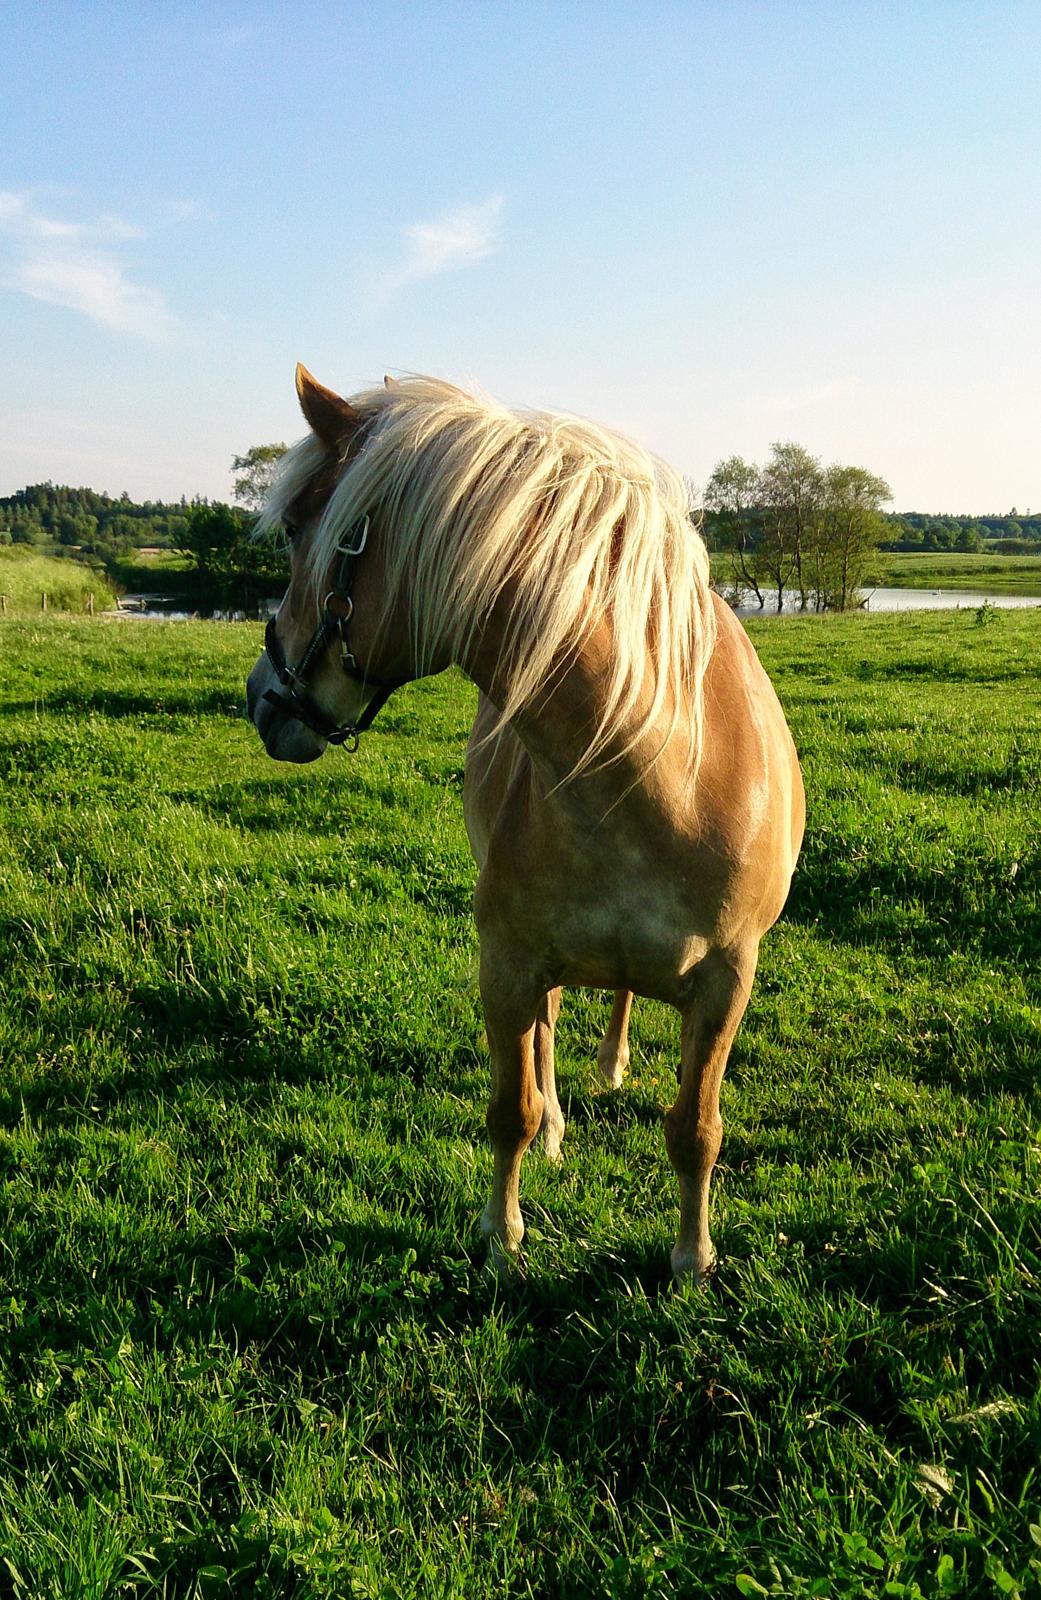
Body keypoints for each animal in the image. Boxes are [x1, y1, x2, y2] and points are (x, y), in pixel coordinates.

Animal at [246, 368, 805, 1280]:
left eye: (299, 529)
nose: (261, 698)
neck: (657, 771)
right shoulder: (505, 963)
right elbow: (509, 1105)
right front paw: (500, 1232)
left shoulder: (728, 981)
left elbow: (695, 1128)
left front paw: (691, 1257)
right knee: (546, 1034)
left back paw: (611, 1063)